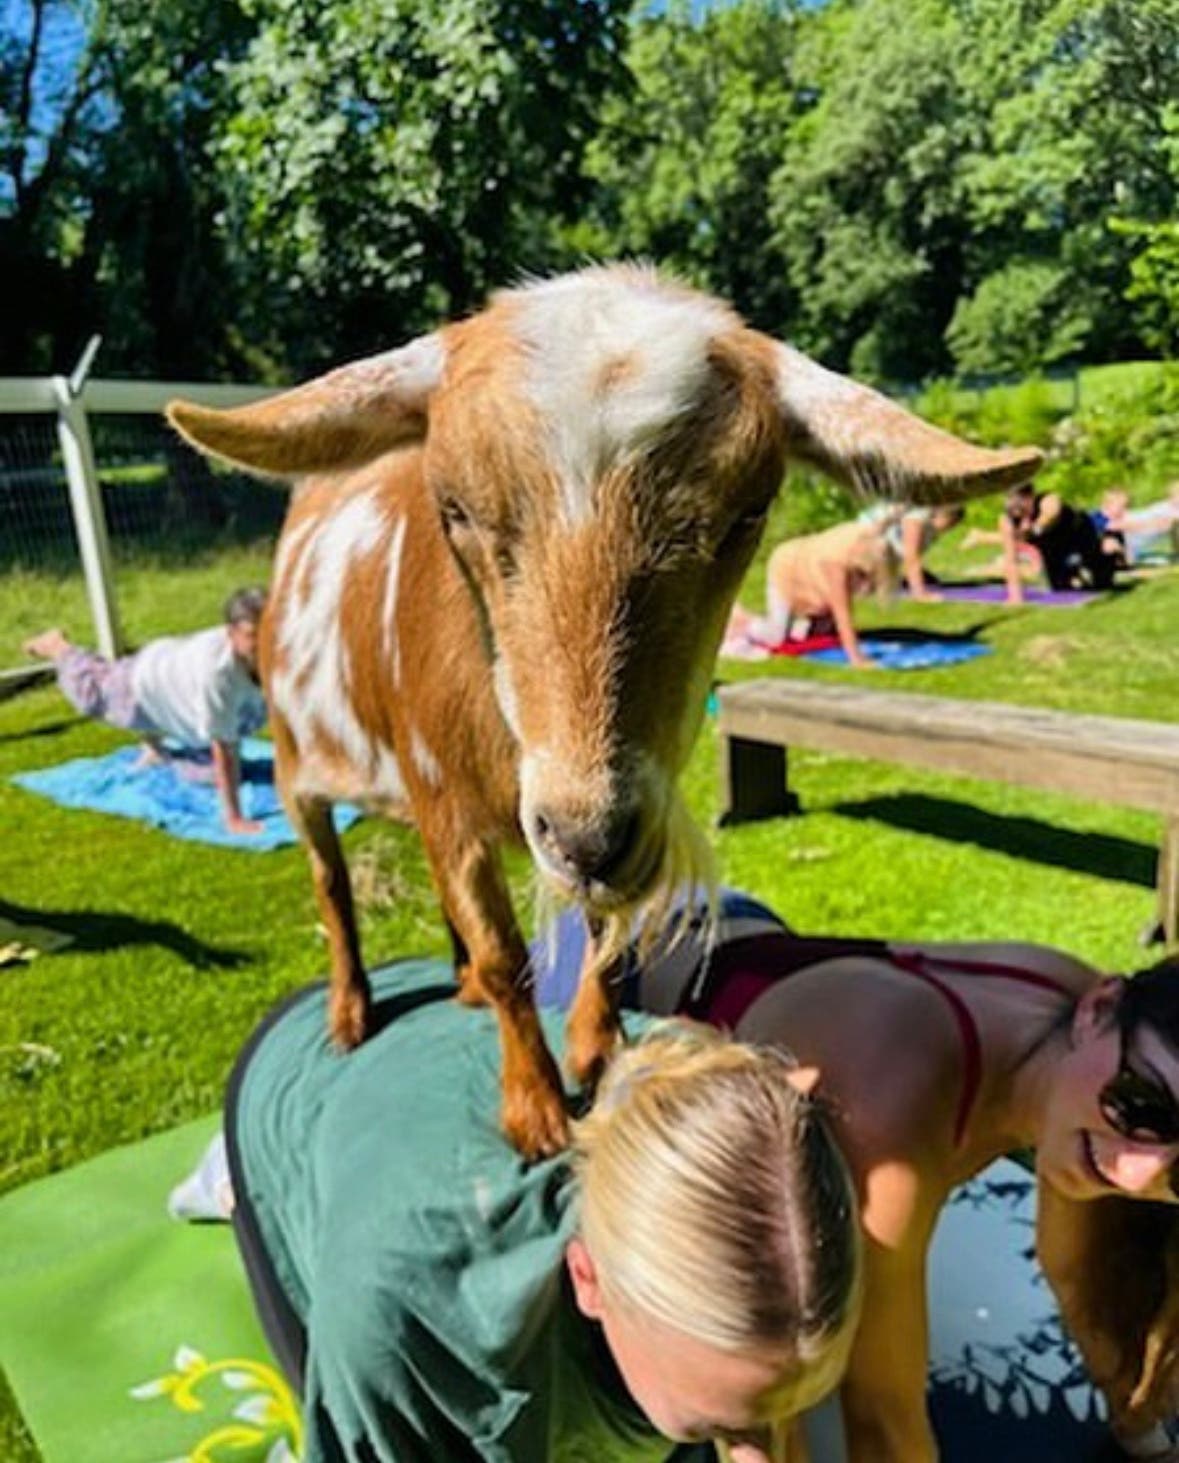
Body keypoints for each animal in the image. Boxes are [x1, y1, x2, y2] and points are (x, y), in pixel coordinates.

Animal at [168, 265, 1041, 1159]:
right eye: (451, 508)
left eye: (748, 512)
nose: (580, 833)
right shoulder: (446, 795)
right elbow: (500, 950)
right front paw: (535, 1111)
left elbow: (601, 929)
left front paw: (597, 1043)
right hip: (299, 757)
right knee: (330, 880)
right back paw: (349, 1011)